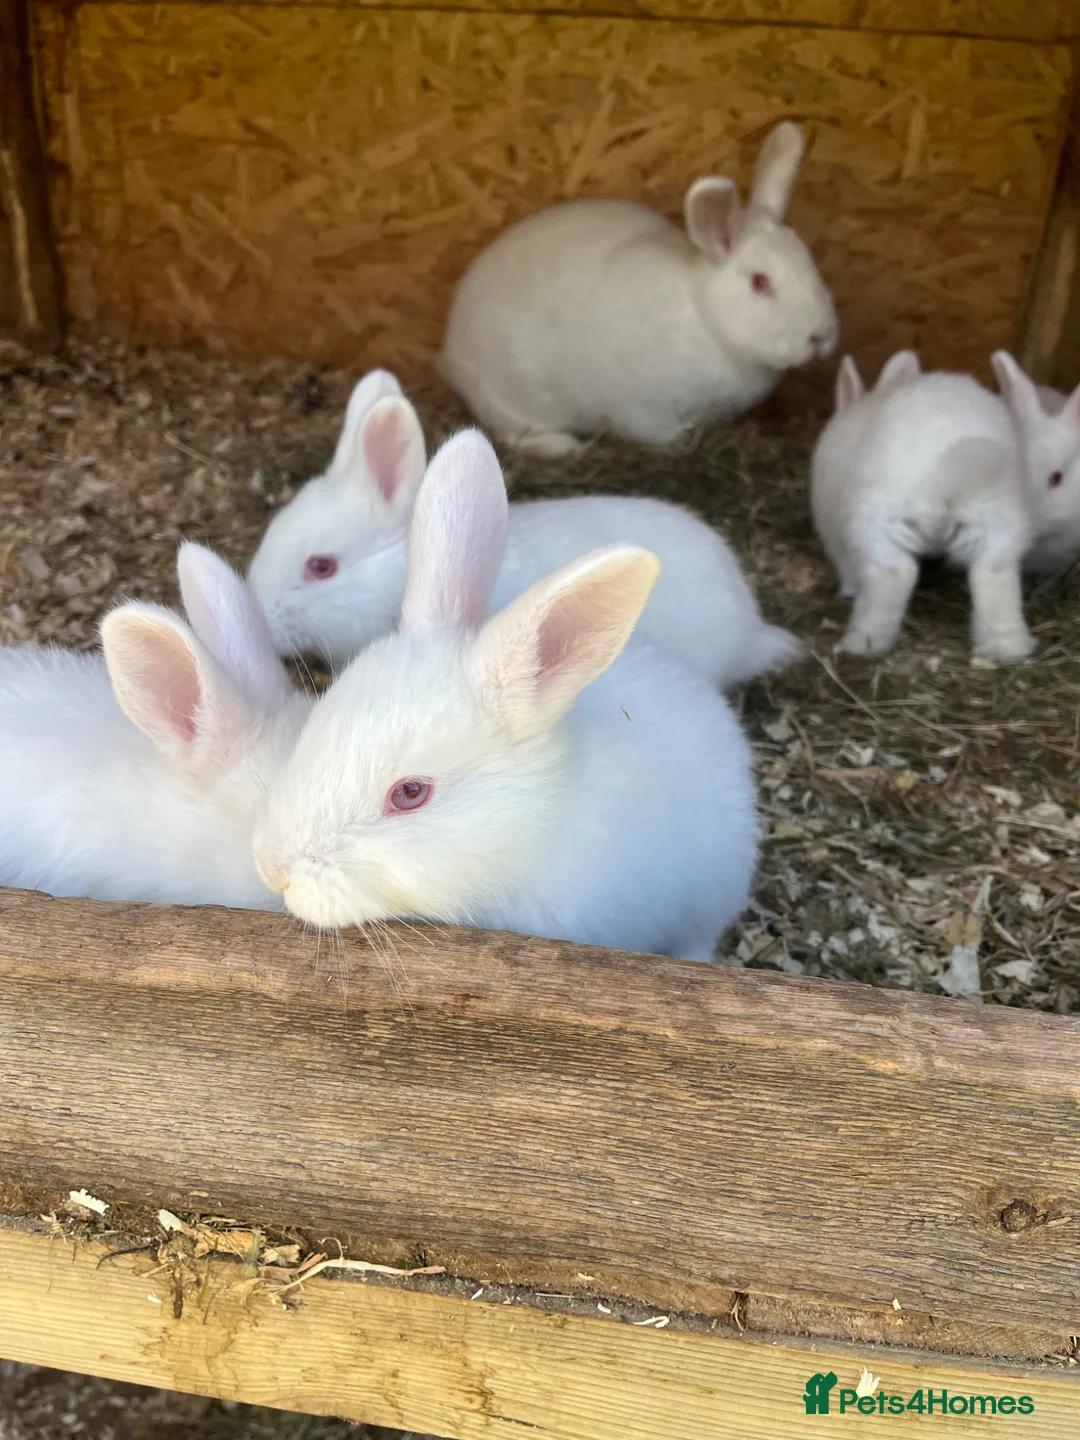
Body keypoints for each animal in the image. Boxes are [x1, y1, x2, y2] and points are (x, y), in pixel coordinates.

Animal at [437, 122, 837, 456]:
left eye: (809, 260)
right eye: (760, 282)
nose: (821, 336)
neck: (705, 320)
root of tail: (451, 350)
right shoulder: (642, 410)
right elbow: (662, 437)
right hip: (510, 400)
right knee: (513, 436)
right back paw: (567, 447)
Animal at [811, 352, 1035, 662]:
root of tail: (943, 477)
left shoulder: (836, 536)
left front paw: (848, 592)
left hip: (877, 527)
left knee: (896, 573)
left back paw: (861, 643)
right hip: (999, 528)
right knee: (993, 575)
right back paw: (1008, 650)